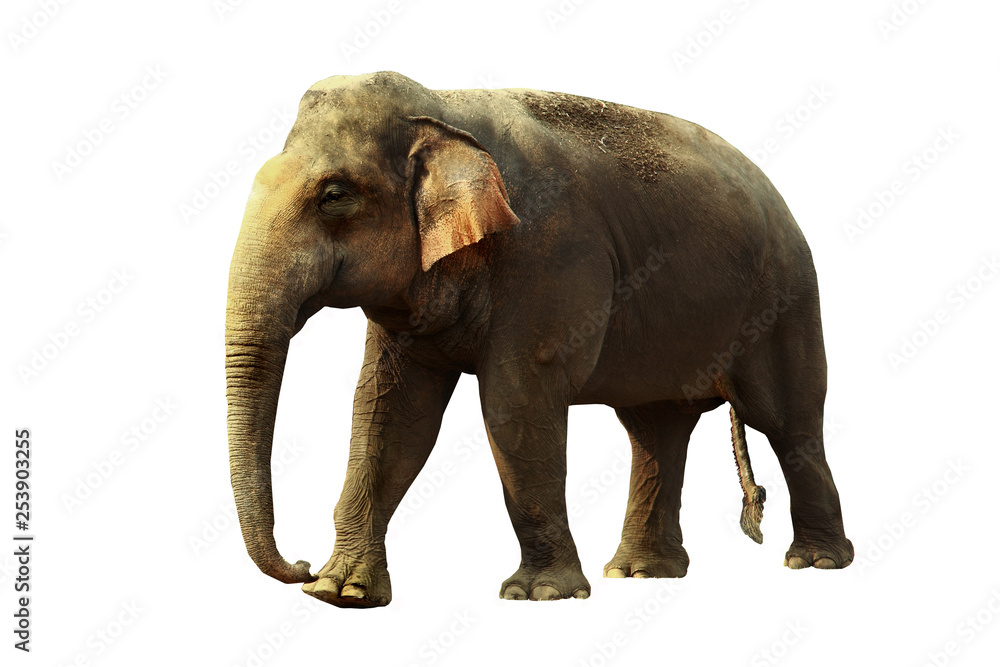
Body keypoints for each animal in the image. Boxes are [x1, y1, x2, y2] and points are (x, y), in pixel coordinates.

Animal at [226, 71, 853, 608]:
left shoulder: (548, 254)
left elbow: (515, 403)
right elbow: (389, 413)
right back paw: (640, 573)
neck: (442, 107)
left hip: (785, 298)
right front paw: (342, 593)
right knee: (656, 430)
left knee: (787, 419)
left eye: (333, 196)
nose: (300, 565)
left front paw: (541, 595)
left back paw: (817, 562)